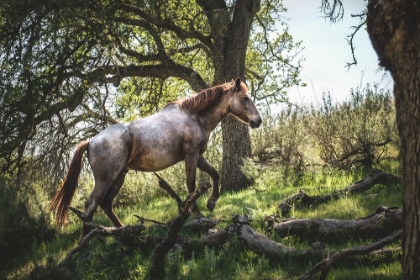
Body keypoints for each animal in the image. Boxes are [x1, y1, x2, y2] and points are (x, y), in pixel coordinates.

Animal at [50, 77, 262, 240]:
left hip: (119, 175)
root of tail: (91, 141)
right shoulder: (191, 154)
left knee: (106, 203)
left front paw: (211, 202)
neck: (194, 116)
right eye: (245, 98)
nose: (257, 121)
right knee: (91, 205)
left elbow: (215, 174)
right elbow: (191, 185)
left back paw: (123, 231)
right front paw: (198, 214)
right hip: (105, 178)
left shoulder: (198, 156)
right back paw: (85, 241)